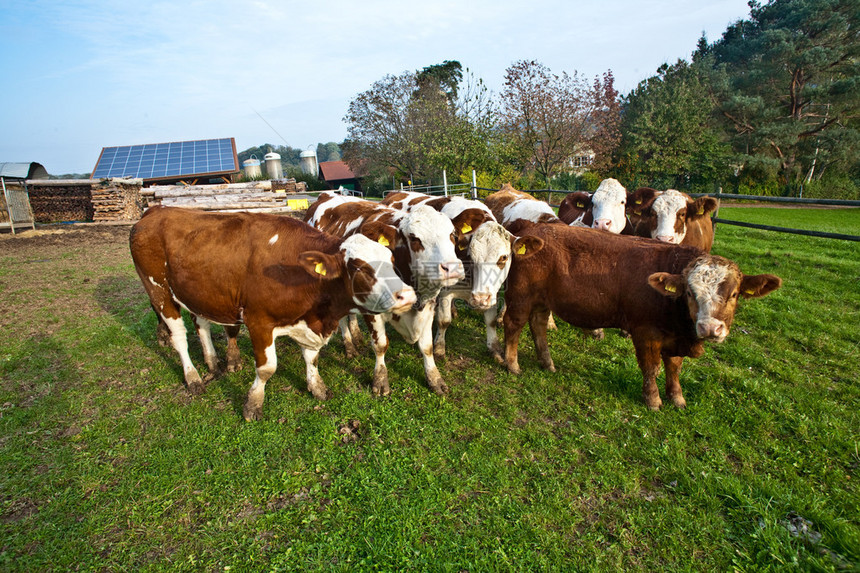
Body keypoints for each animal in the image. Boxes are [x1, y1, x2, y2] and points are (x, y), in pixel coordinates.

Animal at [128, 206, 420, 420]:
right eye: (360, 268)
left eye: (391, 259)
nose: (407, 295)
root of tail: (156, 210)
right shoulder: (259, 322)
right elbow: (267, 368)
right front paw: (253, 405)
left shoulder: (309, 323)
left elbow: (312, 358)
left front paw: (317, 386)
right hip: (159, 291)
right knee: (178, 336)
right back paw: (193, 377)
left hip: (199, 292)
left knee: (201, 323)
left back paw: (212, 361)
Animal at [306, 190, 464, 396]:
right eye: (414, 238)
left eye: (452, 234)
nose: (452, 268)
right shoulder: (373, 310)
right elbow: (380, 345)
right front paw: (380, 380)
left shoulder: (429, 306)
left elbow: (427, 347)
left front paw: (435, 379)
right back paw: (349, 346)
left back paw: (356, 335)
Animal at [382, 191, 516, 358]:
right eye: (471, 257)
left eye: (503, 257)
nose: (479, 298)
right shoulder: (446, 291)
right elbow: (444, 321)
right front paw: (439, 347)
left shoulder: (491, 292)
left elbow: (490, 320)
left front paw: (495, 348)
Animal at [504, 225, 780, 412]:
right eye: (690, 293)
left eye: (733, 294)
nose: (710, 328)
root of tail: (528, 231)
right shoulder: (645, 333)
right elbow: (651, 367)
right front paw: (653, 399)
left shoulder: (675, 337)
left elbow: (674, 367)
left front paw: (677, 397)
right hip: (520, 297)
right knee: (513, 325)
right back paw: (512, 364)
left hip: (542, 301)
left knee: (539, 326)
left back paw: (547, 362)